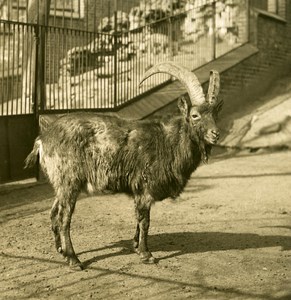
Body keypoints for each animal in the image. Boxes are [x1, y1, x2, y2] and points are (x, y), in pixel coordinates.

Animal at [26, 61, 222, 270]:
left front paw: (135, 245)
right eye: (194, 115)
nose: (215, 134)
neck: (168, 142)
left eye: (215, 114)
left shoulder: (138, 192)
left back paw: (61, 251)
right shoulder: (144, 189)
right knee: (64, 217)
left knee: (53, 213)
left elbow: (138, 219)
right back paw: (73, 259)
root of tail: (42, 140)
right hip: (69, 181)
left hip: (61, 184)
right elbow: (145, 221)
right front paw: (146, 254)